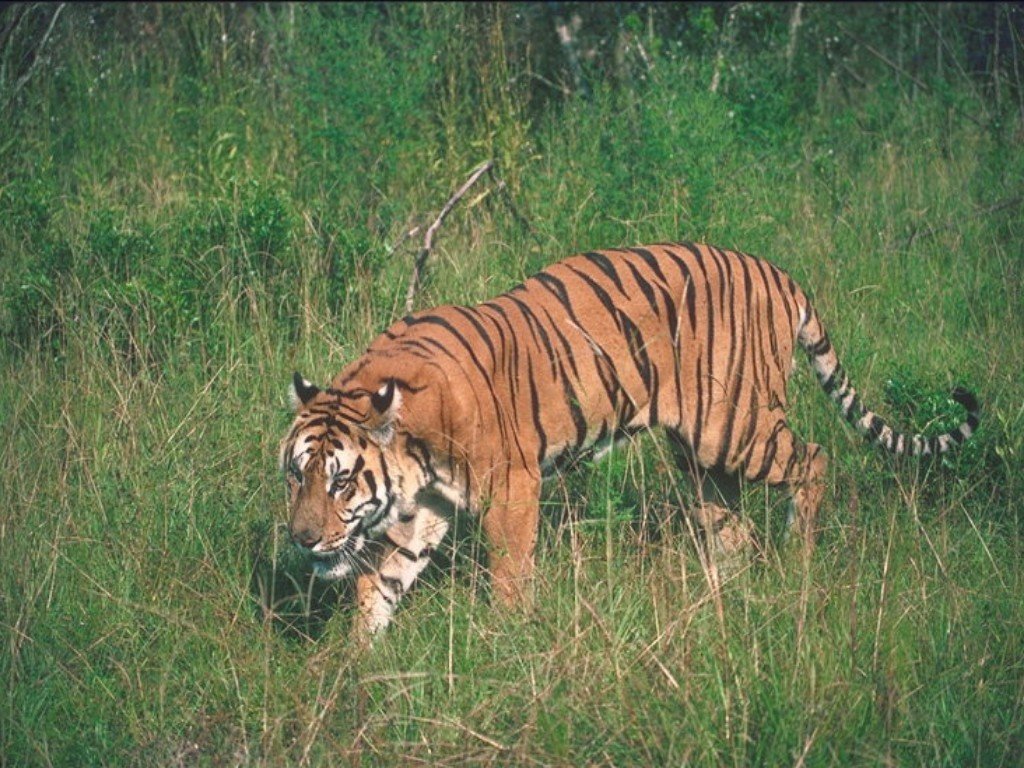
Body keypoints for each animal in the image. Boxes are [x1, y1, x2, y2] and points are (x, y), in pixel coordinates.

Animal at [278, 241, 974, 638]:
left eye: (341, 480)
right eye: (295, 474)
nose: (303, 539)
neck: (413, 451)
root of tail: (780, 274)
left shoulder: (511, 489)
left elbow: (509, 576)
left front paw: (508, 641)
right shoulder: (423, 508)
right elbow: (380, 585)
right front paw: (354, 671)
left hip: (737, 428)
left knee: (814, 458)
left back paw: (797, 559)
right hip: (700, 455)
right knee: (730, 525)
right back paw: (723, 595)